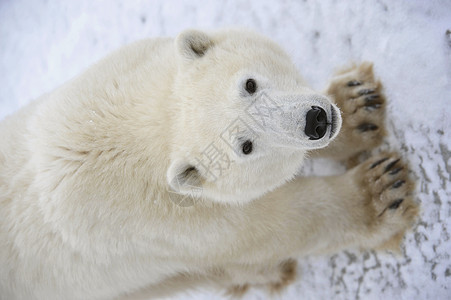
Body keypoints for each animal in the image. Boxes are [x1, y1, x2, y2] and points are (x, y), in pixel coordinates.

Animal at [0, 28, 420, 300]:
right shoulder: (168, 222)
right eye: (245, 146)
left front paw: (359, 104)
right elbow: (268, 223)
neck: (149, 127)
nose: (315, 121)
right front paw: (380, 191)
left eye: (249, 84)